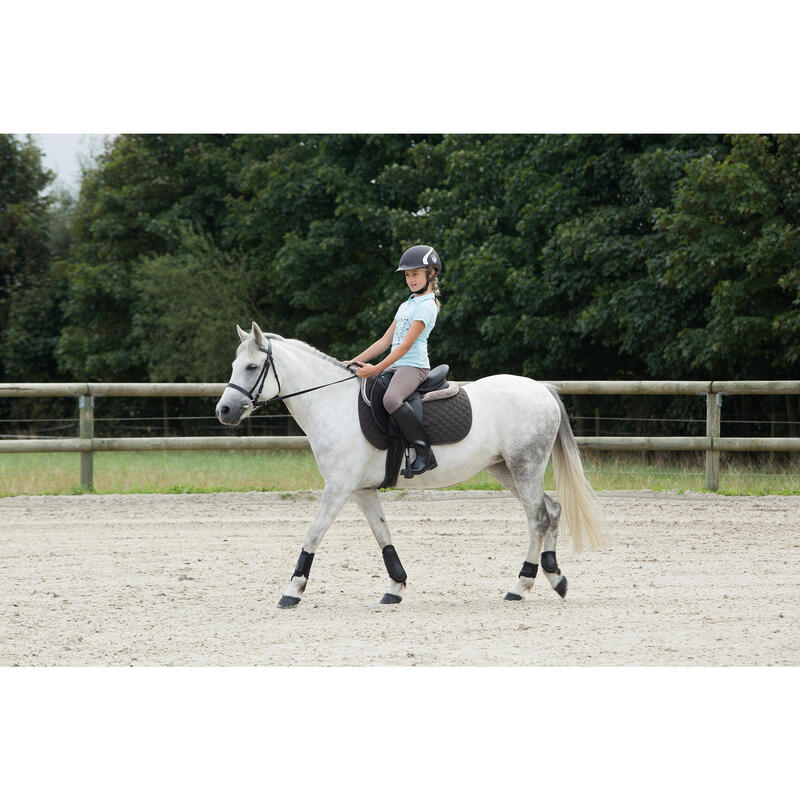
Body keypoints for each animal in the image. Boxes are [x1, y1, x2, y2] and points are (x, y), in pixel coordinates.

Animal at [216, 320, 604, 608]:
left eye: (252, 366)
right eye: (235, 366)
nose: (225, 410)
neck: (333, 403)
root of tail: (542, 389)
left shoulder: (339, 486)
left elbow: (314, 532)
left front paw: (292, 590)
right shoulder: (361, 490)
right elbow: (382, 534)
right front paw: (395, 587)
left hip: (525, 466)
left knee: (538, 517)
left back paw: (520, 585)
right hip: (505, 469)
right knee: (551, 509)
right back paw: (555, 577)